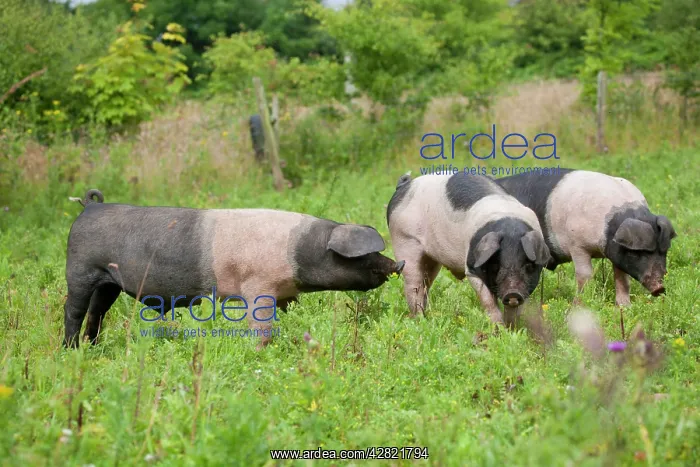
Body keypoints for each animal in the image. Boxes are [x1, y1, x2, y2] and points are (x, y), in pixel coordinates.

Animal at [64, 189, 405, 350]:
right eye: (365, 254)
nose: (398, 263)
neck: (303, 250)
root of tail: (90, 206)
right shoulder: (258, 286)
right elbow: (261, 324)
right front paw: (259, 350)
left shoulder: (286, 293)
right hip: (80, 271)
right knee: (74, 310)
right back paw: (71, 350)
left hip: (109, 282)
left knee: (97, 311)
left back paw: (92, 347)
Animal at [386, 173, 551, 327]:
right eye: (496, 264)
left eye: (528, 265)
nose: (513, 293)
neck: (509, 225)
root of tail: (404, 186)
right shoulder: (472, 269)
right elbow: (489, 303)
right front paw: (498, 329)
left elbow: (516, 310)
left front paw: (511, 329)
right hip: (404, 240)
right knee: (413, 284)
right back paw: (420, 320)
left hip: (431, 259)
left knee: (425, 283)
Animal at [495, 169, 677, 306]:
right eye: (638, 253)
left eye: (664, 252)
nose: (660, 288)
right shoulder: (577, 245)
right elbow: (585, 274)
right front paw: (580, 305)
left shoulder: (617, 253)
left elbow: (622, 278)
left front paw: (624, 307)